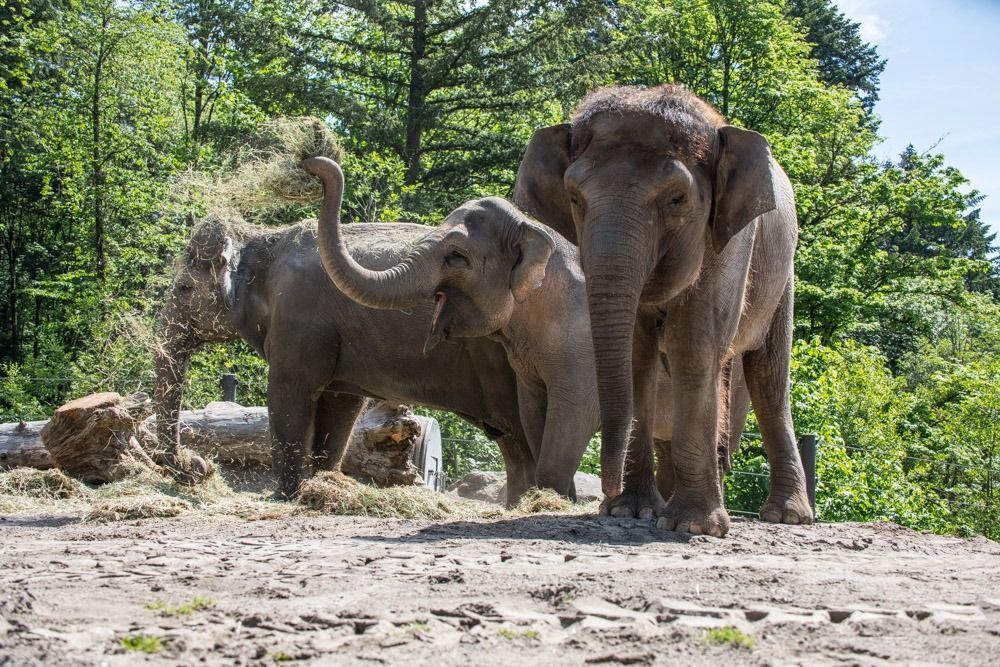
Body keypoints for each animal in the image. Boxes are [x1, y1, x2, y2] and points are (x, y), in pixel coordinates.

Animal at [150, 213, 540, 500]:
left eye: (183, 288)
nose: (198, 467)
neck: (265, 239)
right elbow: (340, 406)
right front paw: (321, 485)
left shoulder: (299, 318)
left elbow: (289, 393)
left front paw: (284, 497)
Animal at [302, 155, 752, 500]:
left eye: (456, 256)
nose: (313, 164)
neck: (533, 229)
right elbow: (535, 414)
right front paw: (556, 498)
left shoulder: (585, 341)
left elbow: (576, 412)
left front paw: (551, 498)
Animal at [516, 83, 812, 536]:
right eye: (574, 197)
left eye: (676, 199)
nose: (603, 492)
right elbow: (639, 354)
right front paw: (630, 511)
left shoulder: (729, 244)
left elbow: (694, 346)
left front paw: (691, 526)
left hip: (783, 275)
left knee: (767, 378)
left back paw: (787, 516)